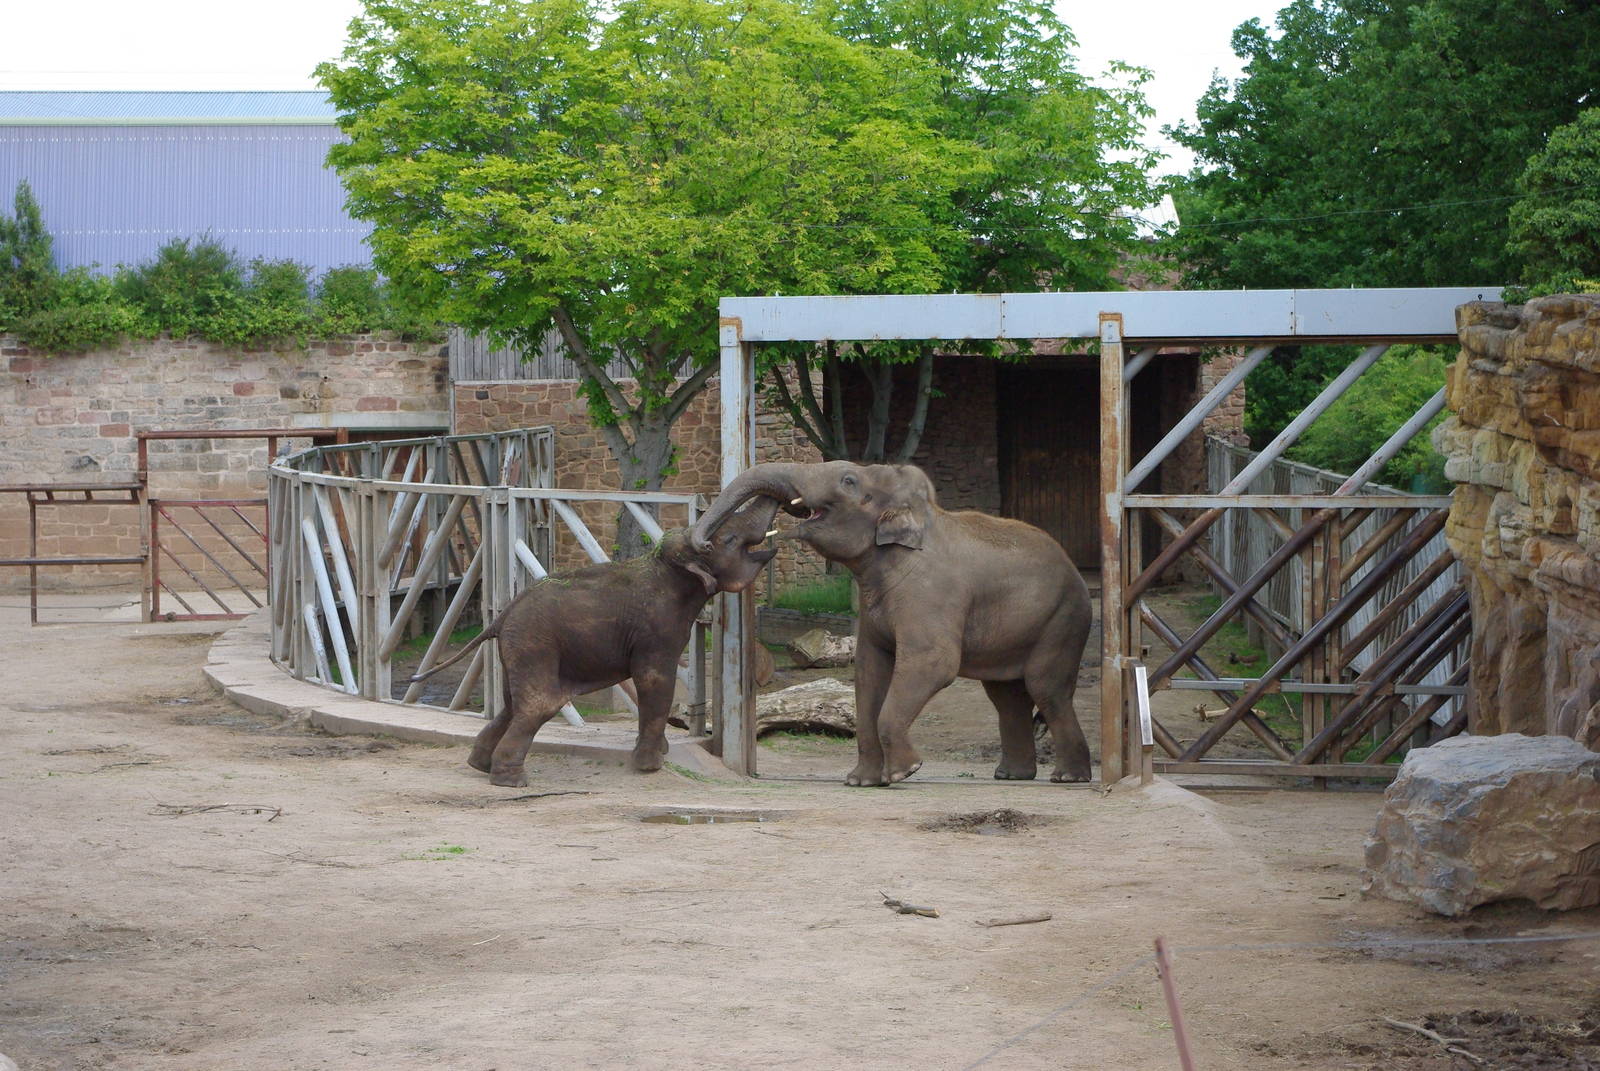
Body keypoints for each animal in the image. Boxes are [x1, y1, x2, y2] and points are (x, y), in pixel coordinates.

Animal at [410, 496, 782, 787]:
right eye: (730, 539)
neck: (668, 565)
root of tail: (502, 616)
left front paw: (657, 754)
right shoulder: (657, 626)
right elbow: (654, 678)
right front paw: (650, 766)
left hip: (519, 648)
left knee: (513, 704)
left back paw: (480, 765)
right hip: (535, 644)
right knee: (539, 704)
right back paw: (511, 780)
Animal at [693, 461, 1092, 786]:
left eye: (848, 480)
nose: (704, 545)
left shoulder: (930, 596)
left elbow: (934, 663)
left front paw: (904, 772)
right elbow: (869, 671)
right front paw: (861, 782)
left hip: (1065, 619)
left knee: (1046, 688)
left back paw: (1068, 777)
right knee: (1006, 695)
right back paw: (1011, 775)